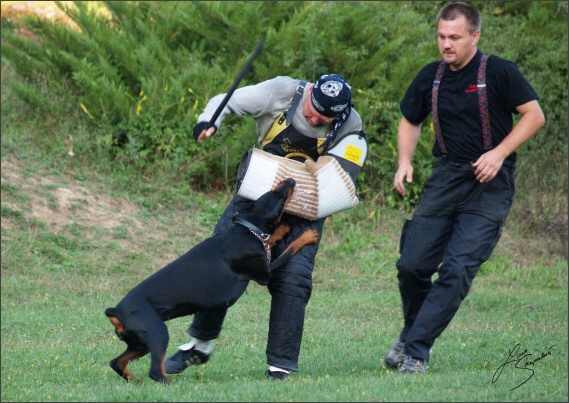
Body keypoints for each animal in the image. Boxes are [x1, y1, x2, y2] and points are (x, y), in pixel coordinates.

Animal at [104, 178, 318, 384]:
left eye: (272, 190)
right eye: (278, 195)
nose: (291, 180)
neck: (247, 230)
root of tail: (117, 312)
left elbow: (271, 239)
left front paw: (284, 229)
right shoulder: (265, 273)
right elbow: (290, 247)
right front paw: (308, 235)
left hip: (140, 343)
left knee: (116, 362)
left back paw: (136, 381)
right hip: (158, 333)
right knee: (155, 372)